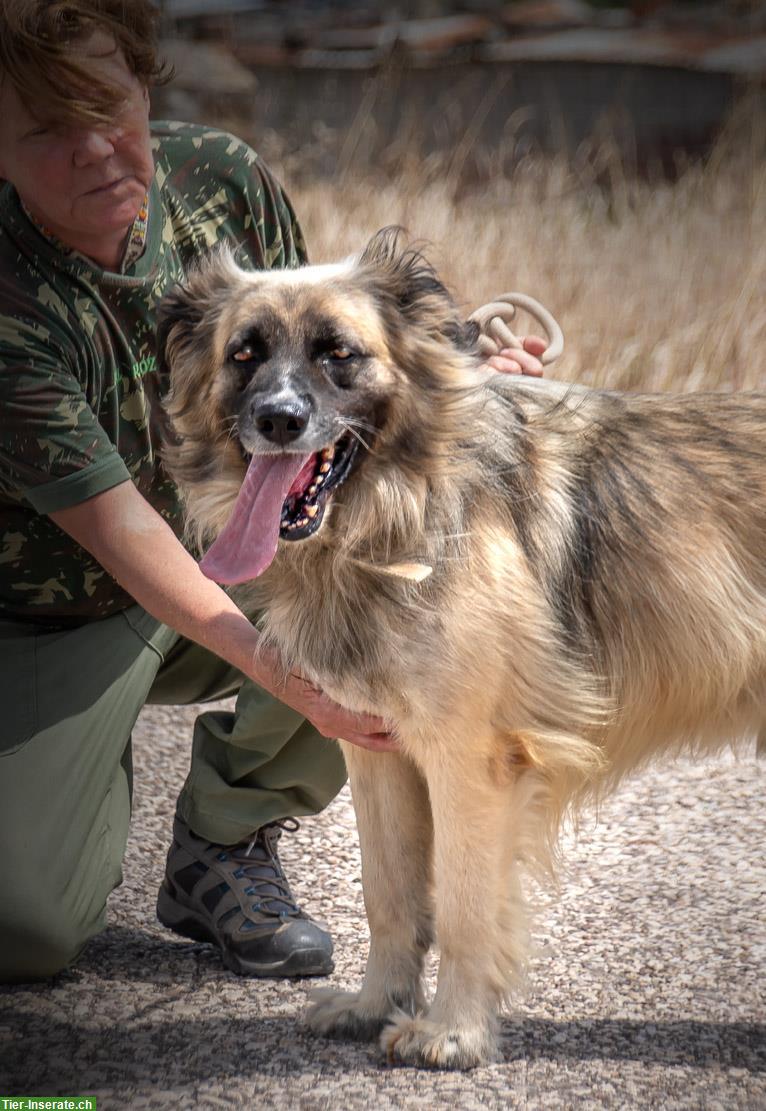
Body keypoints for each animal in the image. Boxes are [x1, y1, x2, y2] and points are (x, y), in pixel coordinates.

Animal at [156, 229, 764, 1071]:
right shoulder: (376, 749)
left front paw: (454, 1031)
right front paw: (373, 1005)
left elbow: (466, 904)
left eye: (338, 352)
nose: (278, 420)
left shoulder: (470, 758)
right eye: (245, 353)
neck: (398, 513)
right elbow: (389, 892)